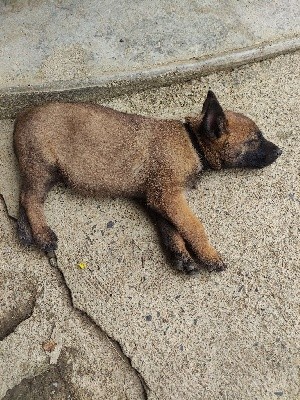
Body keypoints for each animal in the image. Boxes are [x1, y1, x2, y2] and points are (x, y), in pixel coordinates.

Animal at [13, 90, 282, 272]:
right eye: (254, 141)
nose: (280, 151)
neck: (192, 141)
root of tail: (22, 115)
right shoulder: (168, 196)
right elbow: (193, 226)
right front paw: (209, 255)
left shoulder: (156, 198)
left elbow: (171, 229)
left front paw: (180, 256)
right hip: (43, 166)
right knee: (30, 199)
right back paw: (43, 234)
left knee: (24, 198)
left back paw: (27, 233)